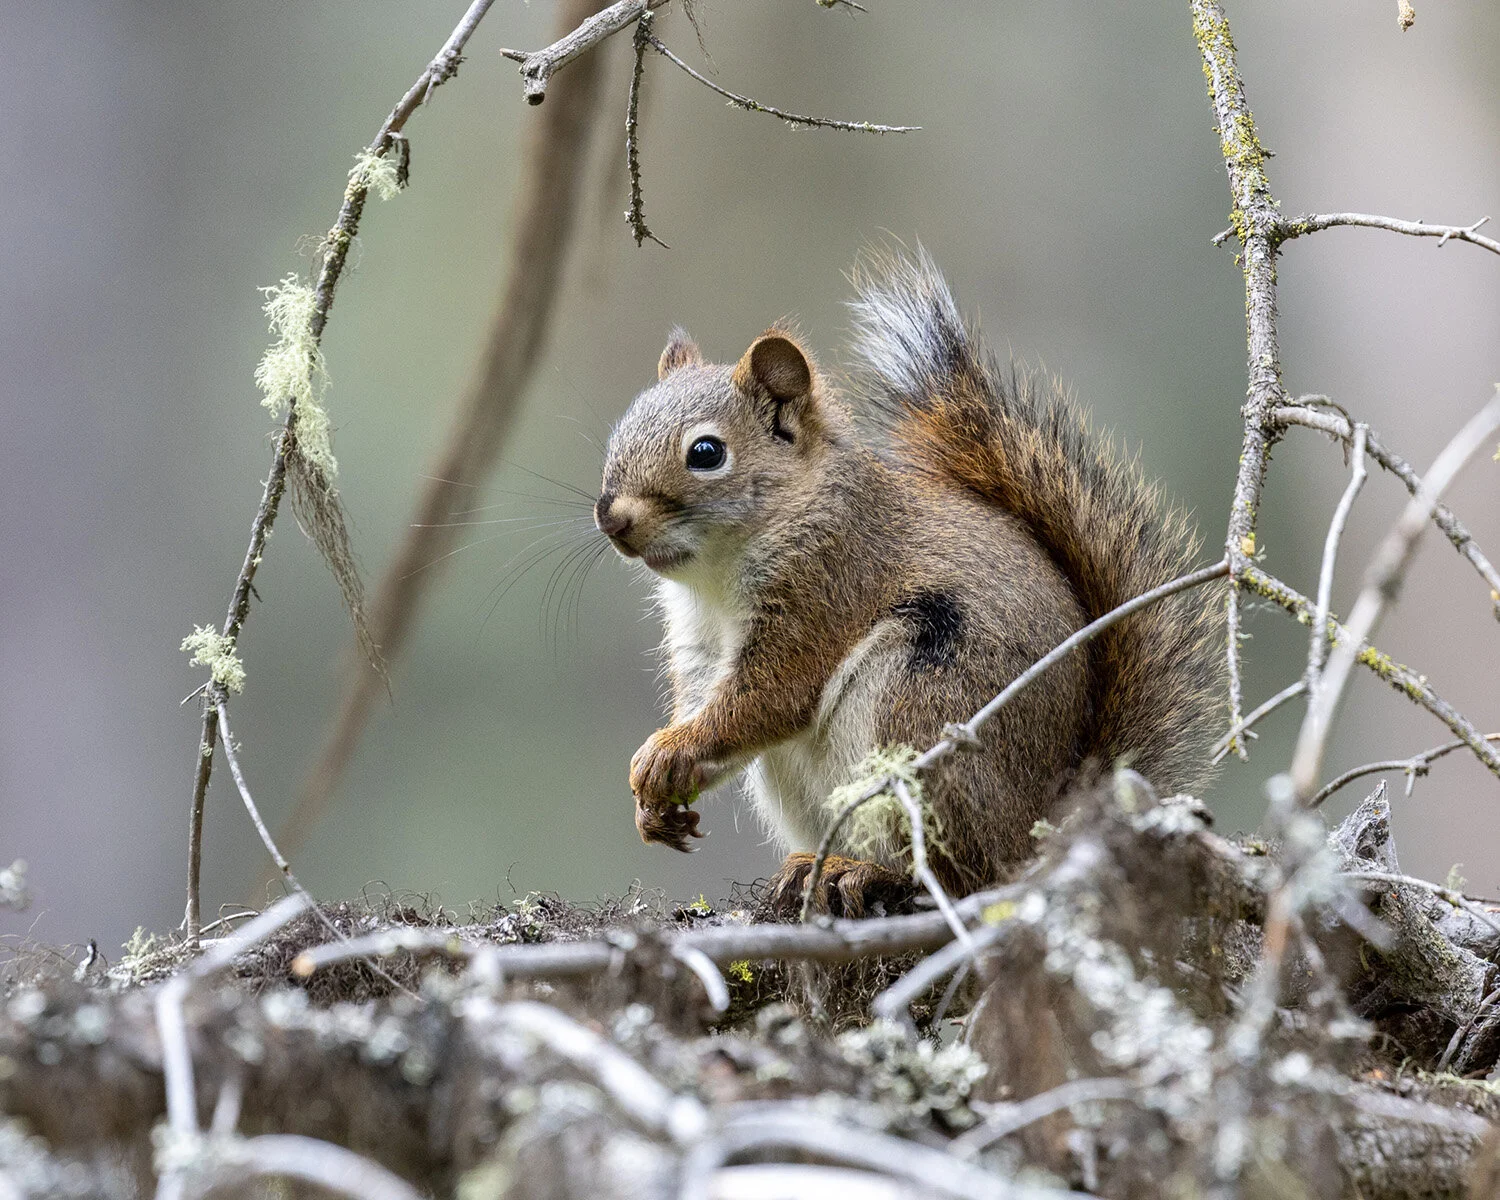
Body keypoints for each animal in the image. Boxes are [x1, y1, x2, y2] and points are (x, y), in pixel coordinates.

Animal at [594, 250, 1223, 913]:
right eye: (619, 432)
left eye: (707, 452)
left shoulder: (828, 583)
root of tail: (1040, 828)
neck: (717, 571)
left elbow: (770, 695)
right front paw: (655, 797)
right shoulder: (700, 640)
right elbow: (706, 698)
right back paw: (813, 867)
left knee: (965, 874)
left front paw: (669, 751)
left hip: (920, 708)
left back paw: (871, 874)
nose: (611, 517)